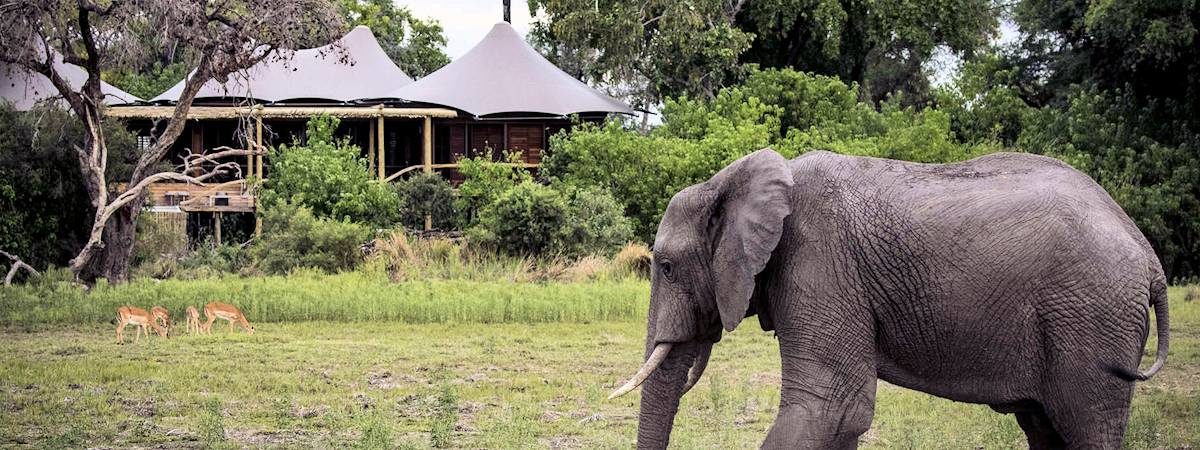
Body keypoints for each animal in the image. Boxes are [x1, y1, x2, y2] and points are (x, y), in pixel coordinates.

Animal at [609, 150, 1161, 450]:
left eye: (667, 267)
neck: (732, 180)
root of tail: (1147, 253)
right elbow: (841, 421)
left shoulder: (821, 262)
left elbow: (831, 407)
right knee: (1046, 429)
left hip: (1093, 318)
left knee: (1087, 425)